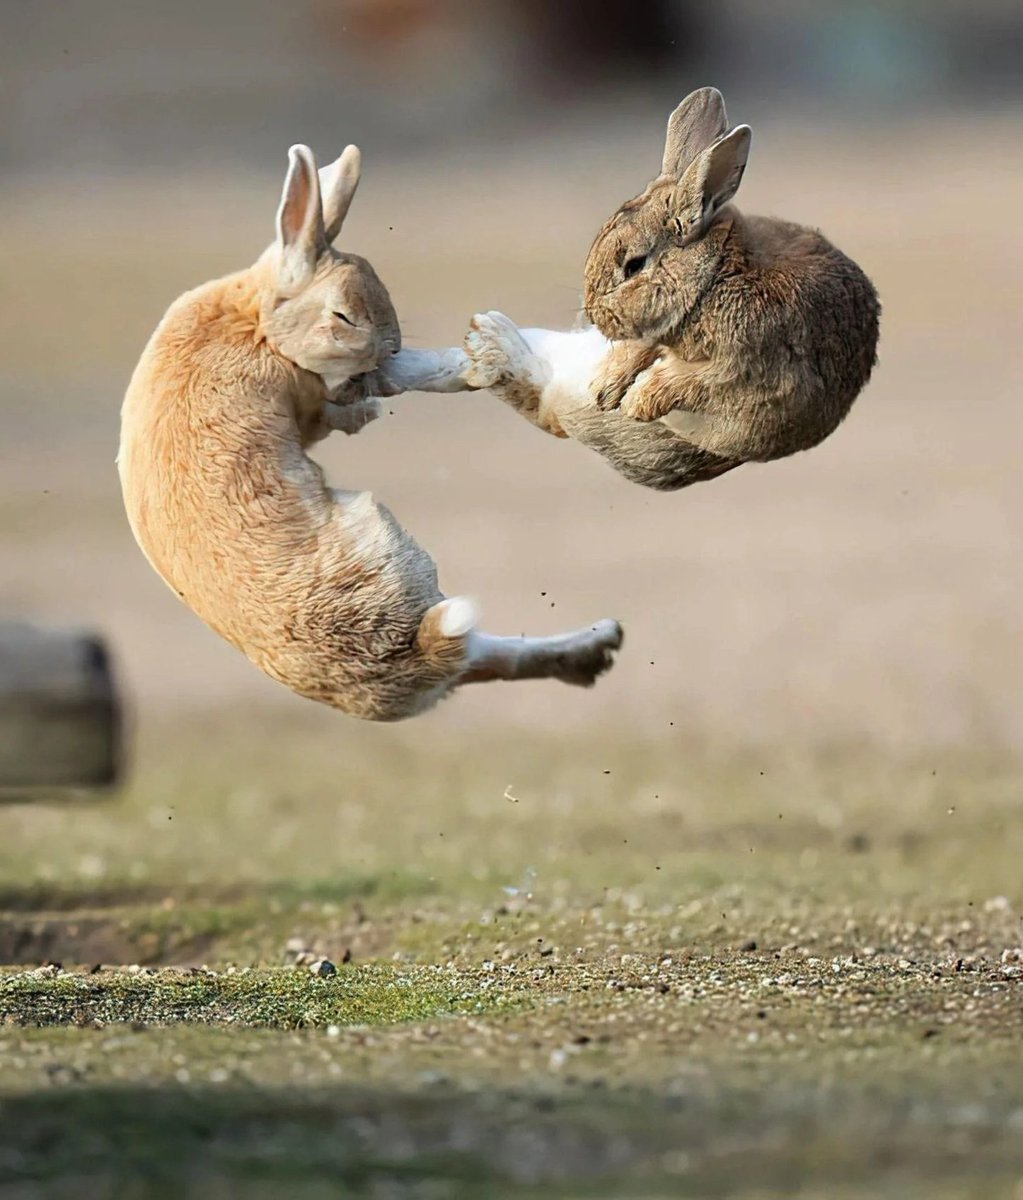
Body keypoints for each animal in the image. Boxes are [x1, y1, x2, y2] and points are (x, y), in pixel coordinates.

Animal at [118, 143, 623, 722]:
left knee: (489, 657)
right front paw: (442, 376)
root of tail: (416, 656)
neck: (258, 323)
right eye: (343, 316)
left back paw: (597, 645)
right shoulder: (308, 396)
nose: (391, 346)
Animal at [459, 87, 880, 491]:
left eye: (634, 265)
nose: (594, 316)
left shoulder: (739, 367)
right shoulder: (654, 333)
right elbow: (640, 350)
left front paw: (638, 402)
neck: (712, 278)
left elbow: (687, 381)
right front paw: (607, 387)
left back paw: (491, 343)